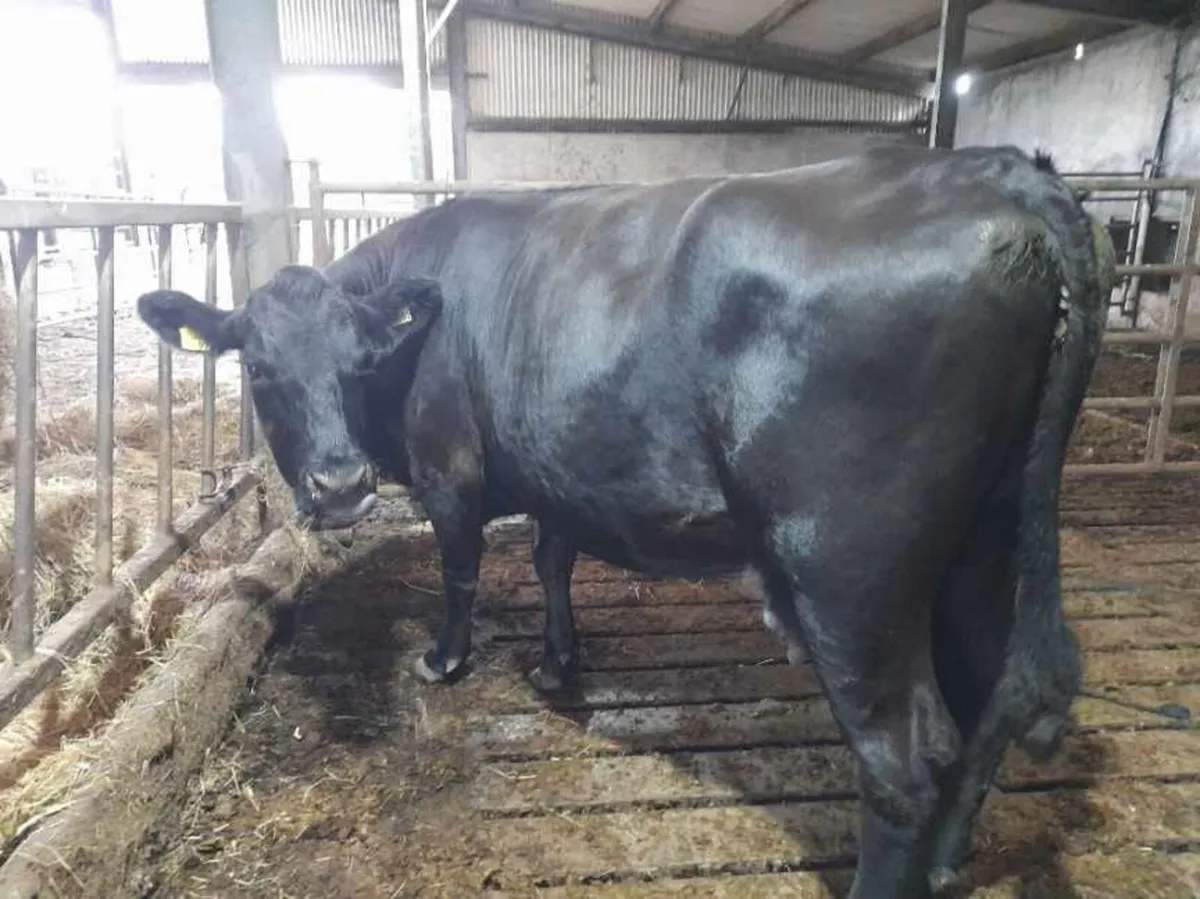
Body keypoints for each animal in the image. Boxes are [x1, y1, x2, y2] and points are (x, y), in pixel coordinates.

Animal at [137, 144, 1115, 898]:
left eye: (357, 363)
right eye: (258, 368)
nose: (340, 486)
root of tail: (997, 172)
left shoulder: (449, 471)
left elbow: (460, 568)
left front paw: (444, 659)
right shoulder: (560, 472)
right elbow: (551, 560)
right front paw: (558, 661)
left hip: (847, 568)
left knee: (904, 762)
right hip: (986, 533)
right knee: (990, 689)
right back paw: (950, 861)